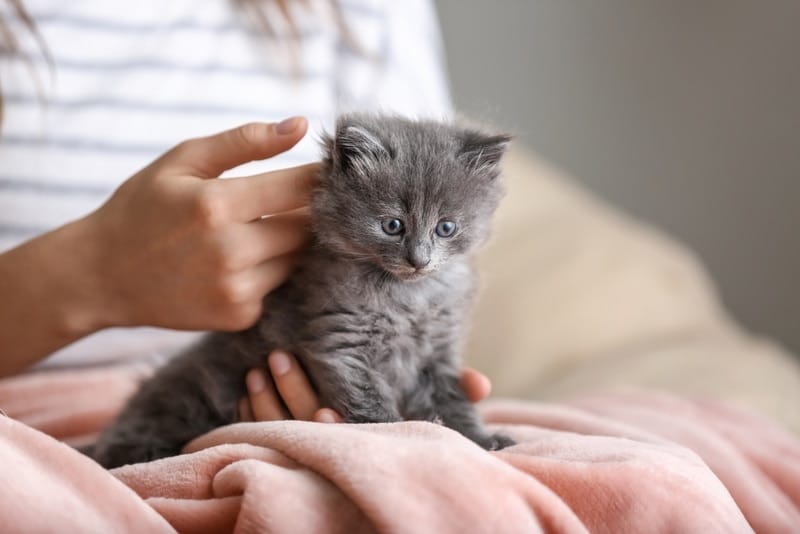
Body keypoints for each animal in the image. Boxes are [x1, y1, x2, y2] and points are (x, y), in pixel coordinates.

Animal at [89, 114, 512, 468]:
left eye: (446, 228)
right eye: (393, 225)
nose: (419, 259)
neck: (411, 296)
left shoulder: (439, 353)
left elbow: (454, 400)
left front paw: (479, 439)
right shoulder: (343, 343)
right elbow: (370, 402)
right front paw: (400, 434)